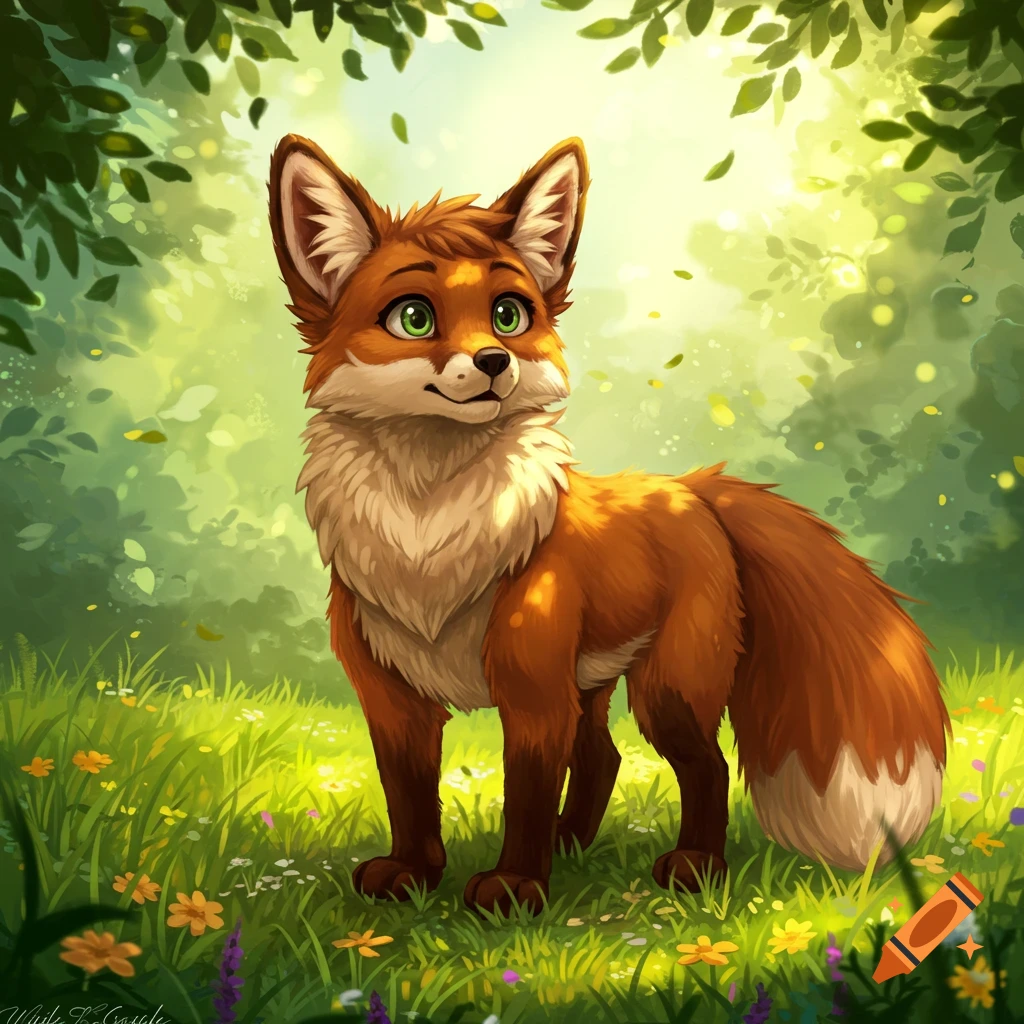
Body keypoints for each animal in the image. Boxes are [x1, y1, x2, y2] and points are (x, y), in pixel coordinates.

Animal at [267, 134, 951, 916]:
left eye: (509, 315)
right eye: (414, 318)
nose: (495, 362)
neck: (427, 539)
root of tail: (693, 490)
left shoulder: (533, 693)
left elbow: (525, 797)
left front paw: (516, 888)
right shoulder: (392, 699)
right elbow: (409, 796)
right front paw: (414, 873)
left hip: (668, 691)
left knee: (707, 767)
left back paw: (693, 865)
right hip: (595, 686)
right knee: (603, 756)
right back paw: (575, 845)